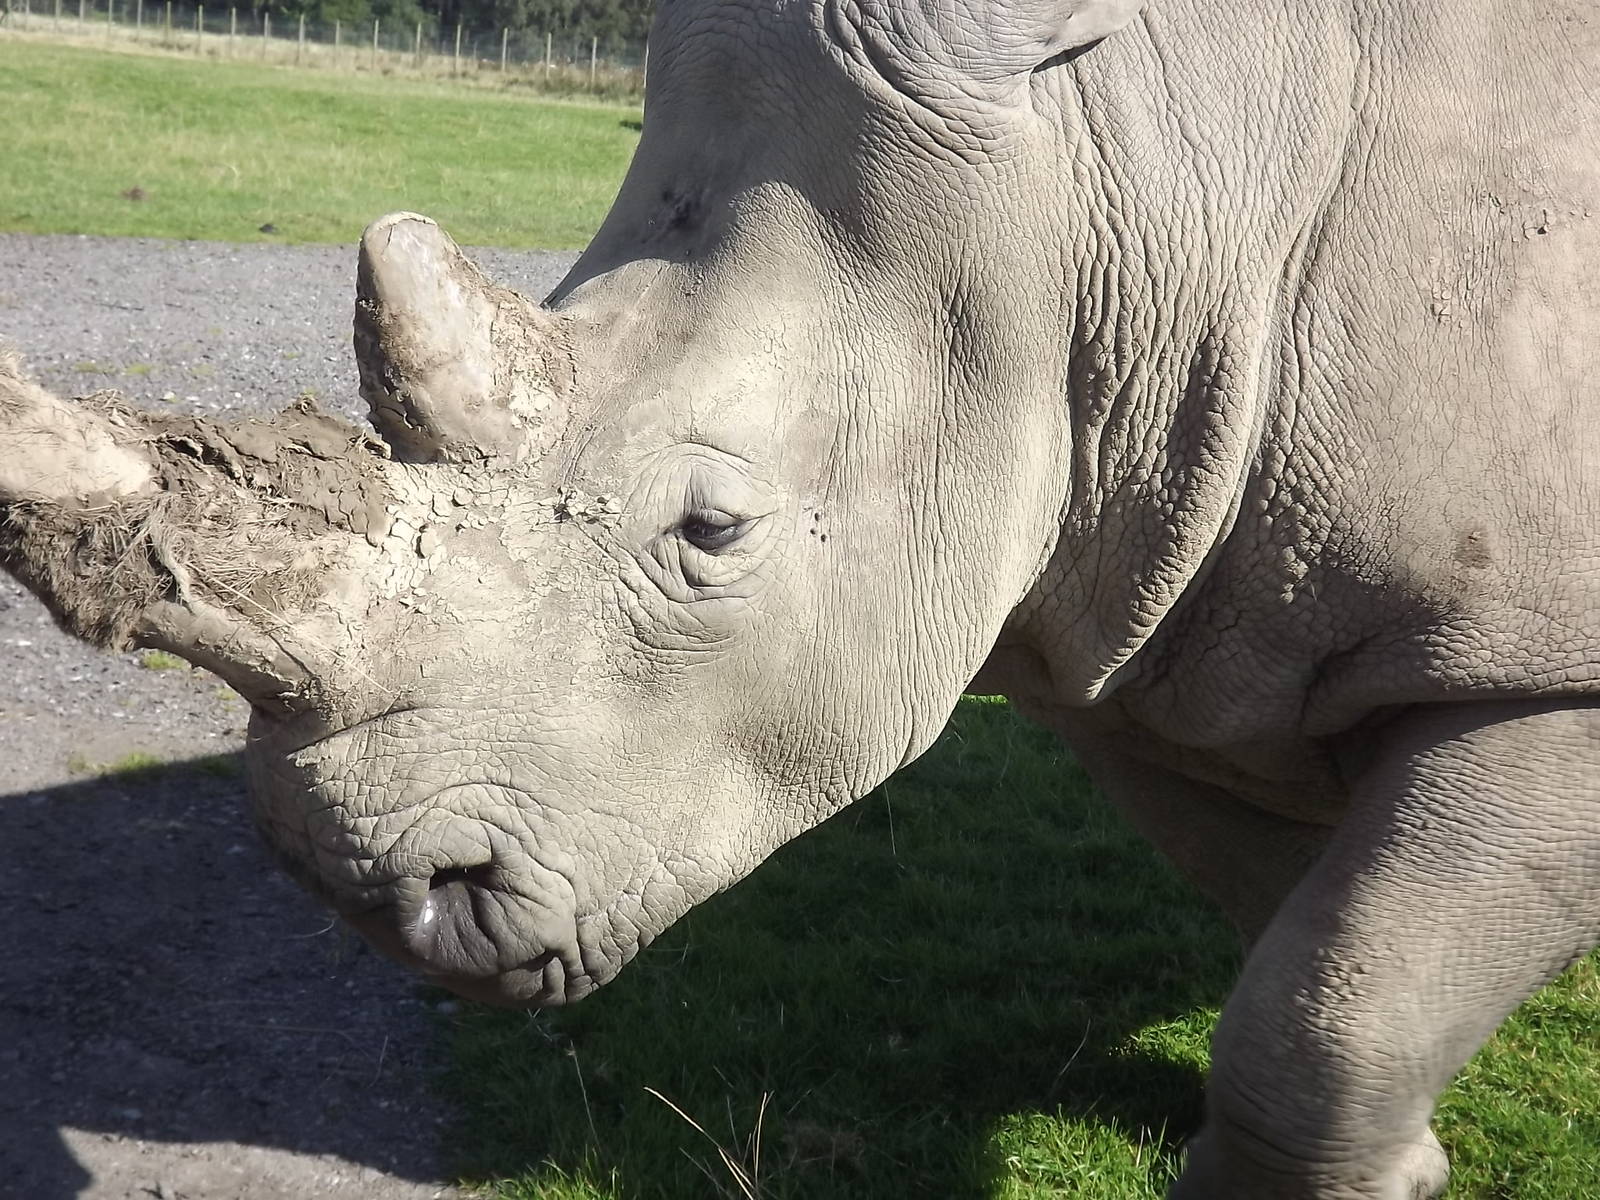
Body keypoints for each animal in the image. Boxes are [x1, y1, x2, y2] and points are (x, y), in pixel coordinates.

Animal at [3, 0, 1597, 1195]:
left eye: (713, 529)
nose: (354, 885)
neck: (1128, 186)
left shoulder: (1540, 663)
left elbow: (1328, 1016)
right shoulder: (1158, 627)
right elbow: (1304, 949)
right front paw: (1398, 1164)